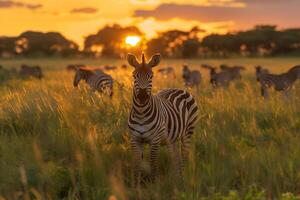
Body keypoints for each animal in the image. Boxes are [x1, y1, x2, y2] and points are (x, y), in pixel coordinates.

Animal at [127, 53, 199, 184]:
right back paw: (175, 178)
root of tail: (177, 88)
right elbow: (137, 163)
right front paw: (136, 184)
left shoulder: (155, 140)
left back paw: (182, 178)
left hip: (188, 131)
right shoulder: (135, 139)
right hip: (172, 138)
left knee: (184, 154)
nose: (142, 97)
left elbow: (153, 162)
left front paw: (153, 183)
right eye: (134, 76)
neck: (140, 113)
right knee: (175, 156)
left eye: (151, 76)